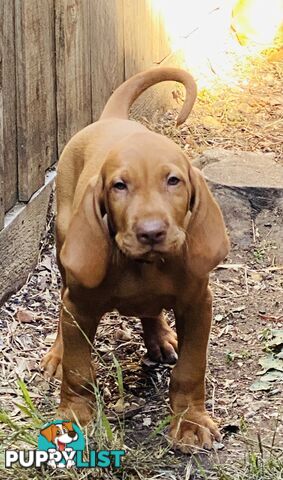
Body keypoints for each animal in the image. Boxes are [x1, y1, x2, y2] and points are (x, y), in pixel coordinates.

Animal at [41, 68, 231, 454]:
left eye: (173, 180)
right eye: (119, 186)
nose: (151, 232)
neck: (143, 266)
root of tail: (112, 119)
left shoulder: (197, 304)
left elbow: (191, 369)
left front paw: (190, 422)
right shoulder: (79, 307)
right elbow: (78, 370)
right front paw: (73, 417)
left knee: (150, 310)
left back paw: (160, 337)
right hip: (65, 247)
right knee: (62, 308)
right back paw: (57, 352)